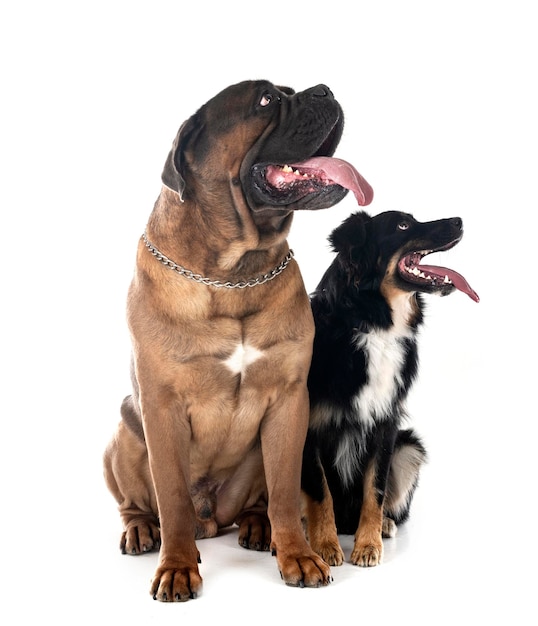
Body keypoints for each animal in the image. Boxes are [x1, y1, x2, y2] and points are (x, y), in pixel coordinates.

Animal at [103, 79, 372, 600]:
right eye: (266, 100)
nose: (324, 90)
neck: (234, 272)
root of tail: (213, 520)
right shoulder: (161, 405)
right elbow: (172, 497)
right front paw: (177, 567)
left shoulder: (289, 400)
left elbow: (286, 492)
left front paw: (297, 556)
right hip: (124, 433)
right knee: (138, 503)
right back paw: (141, 529)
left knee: (259, 501)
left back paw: (258, 527)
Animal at [302, 210, 478, 564]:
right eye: (402, 226)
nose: (459, 221)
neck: (374, 325)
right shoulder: (309, 426)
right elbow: (320, 491)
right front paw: (325, 544)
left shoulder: (386, 421)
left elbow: (376, 488)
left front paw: (368, 544)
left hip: (409, 447)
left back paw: (383, 524)